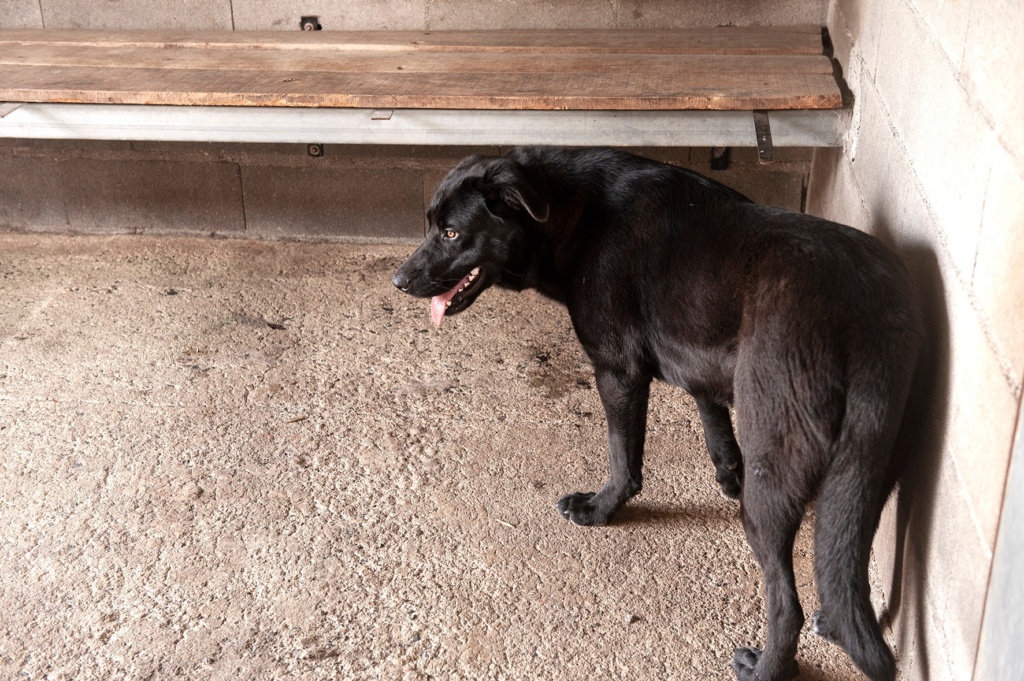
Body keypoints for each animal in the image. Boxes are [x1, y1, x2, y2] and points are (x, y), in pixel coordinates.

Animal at [389, 146, 921, 675]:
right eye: (431, 224)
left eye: (451, 232)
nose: (399, 280)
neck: (570, 212)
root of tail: (863, 318)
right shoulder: (702, 358)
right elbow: (710, 412)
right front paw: (727, 472)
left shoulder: (618, 370)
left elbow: (623, 456)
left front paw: (600, 508)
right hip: (864, 478)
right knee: (843, 566)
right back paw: (832, 622)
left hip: (774, 480)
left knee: (786, 603)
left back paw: (767, 666)